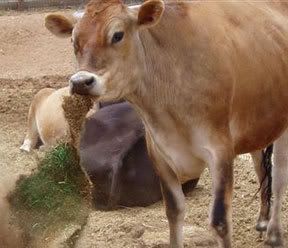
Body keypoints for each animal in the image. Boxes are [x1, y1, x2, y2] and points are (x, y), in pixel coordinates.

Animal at [45, 0, 288, 247]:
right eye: (74, 40)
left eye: (117, 35)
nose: (80, 82)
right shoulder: (159, 154)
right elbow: (174, 211)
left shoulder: (220, 150)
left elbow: (220, 221)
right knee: (260, 164)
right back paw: (262, 221)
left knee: (279, 174)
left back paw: (274, 233)